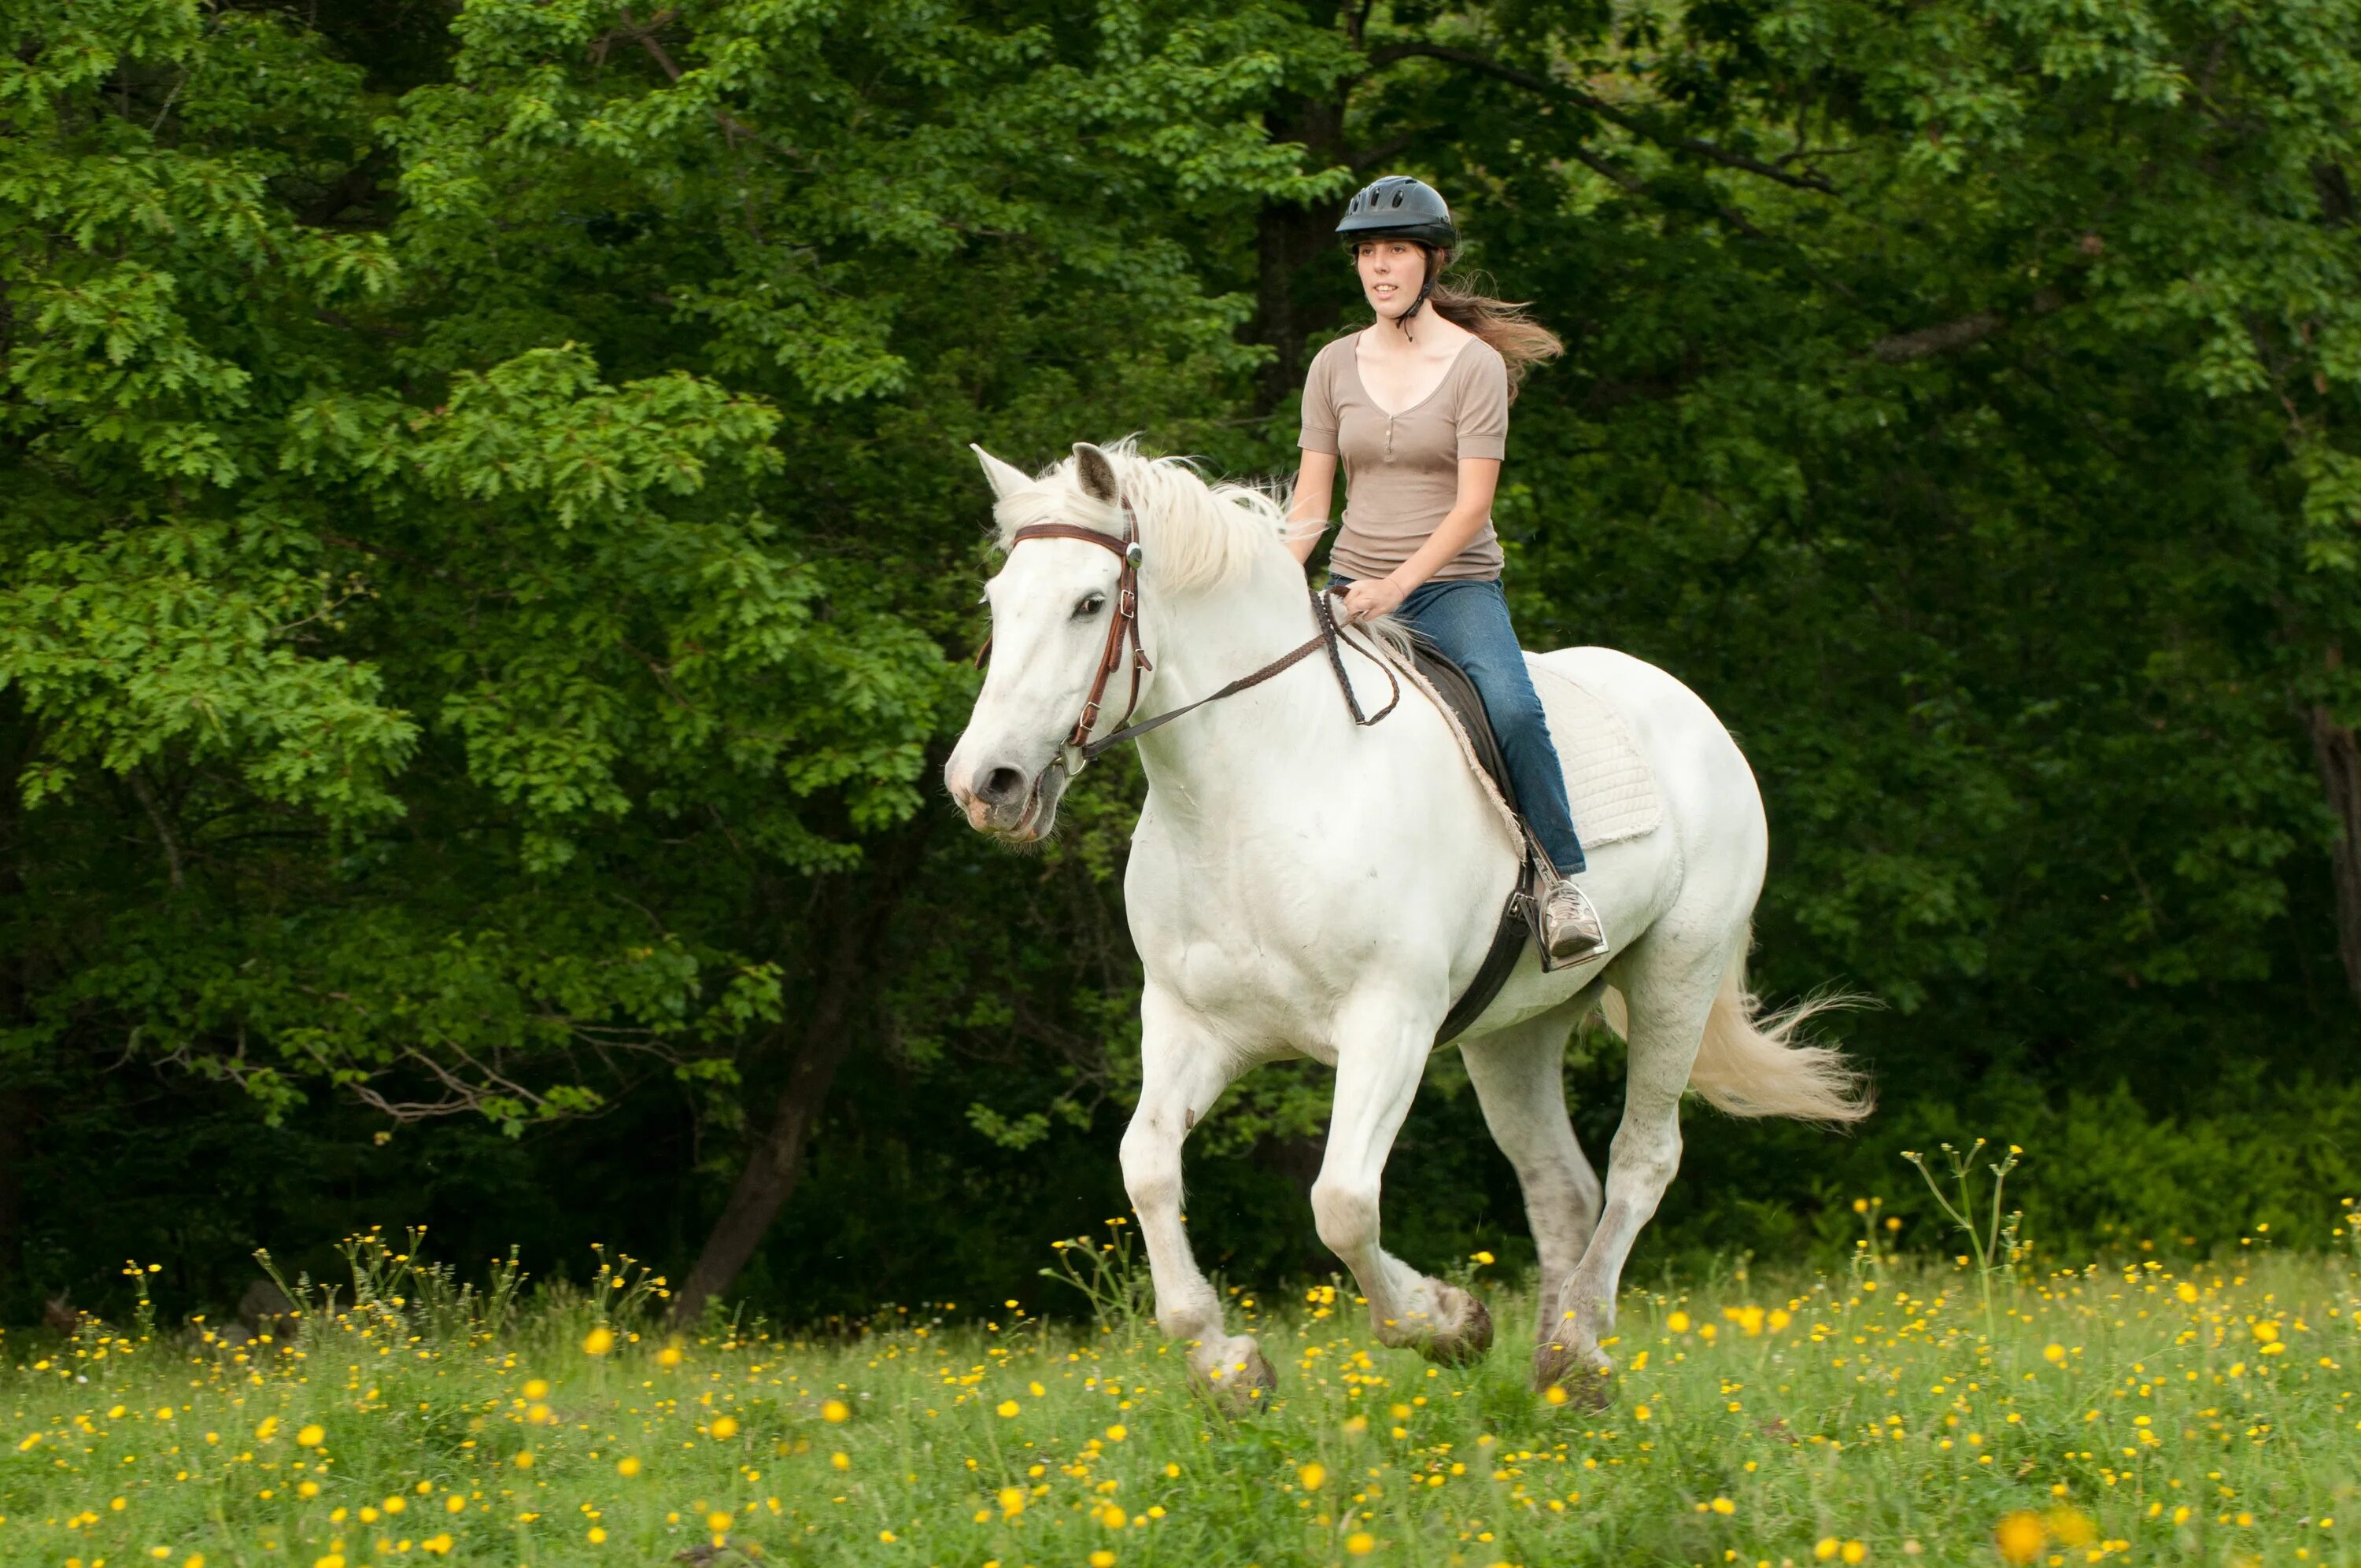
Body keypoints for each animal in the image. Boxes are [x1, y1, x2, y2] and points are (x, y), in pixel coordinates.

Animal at [940, 434, 1860, 1397]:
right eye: (997, 601)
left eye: (1089, 604)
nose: (985, 784)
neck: (1255, 789)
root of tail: (1692, 711)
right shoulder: (1190, 1024)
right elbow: (1147, 1166)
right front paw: (1227, 1363)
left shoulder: (1391, 1022)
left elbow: (1342, 1202)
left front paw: (1444, 1322)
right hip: (1514, 1032)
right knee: (1560, 1184)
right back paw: (1549, 1378)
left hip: (1676, 974)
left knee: (1641, 1160)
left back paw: (1580, 1346)